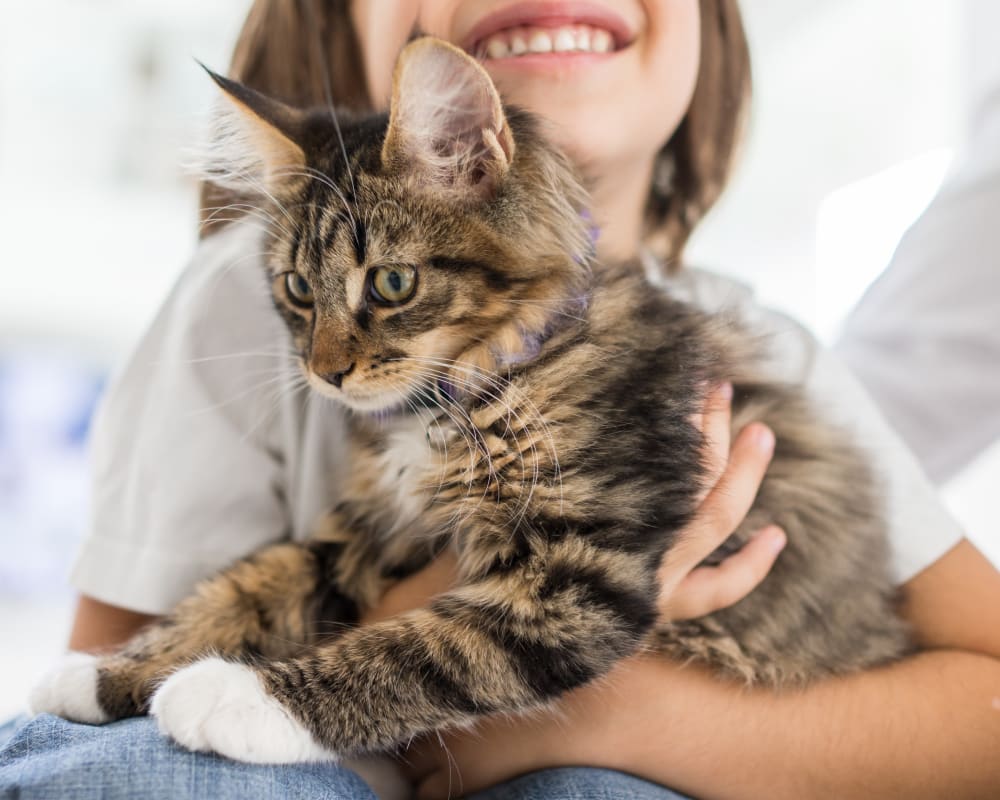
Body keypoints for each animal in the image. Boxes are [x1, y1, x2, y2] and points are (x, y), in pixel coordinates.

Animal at [33, 39, 908, 776]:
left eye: (391, 283)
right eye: (297, 289)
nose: (325, 374)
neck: (469, 391)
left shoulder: (579, 570)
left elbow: (421, 649)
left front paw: (239, 697)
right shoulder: (365, 530)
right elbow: (245, 586)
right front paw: (105, 672)